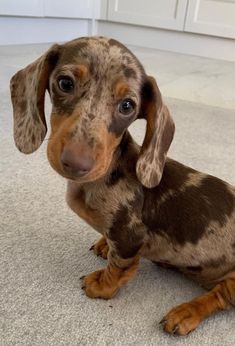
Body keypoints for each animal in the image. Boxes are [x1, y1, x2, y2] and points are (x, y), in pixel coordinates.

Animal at [10, 35, 235, 336]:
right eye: (65, 83)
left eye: (127, 106)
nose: (76, 163)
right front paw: (105, 244)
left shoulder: (130, 237)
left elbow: (119, 268)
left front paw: (101, 285)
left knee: (220, 296)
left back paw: (185, 312)